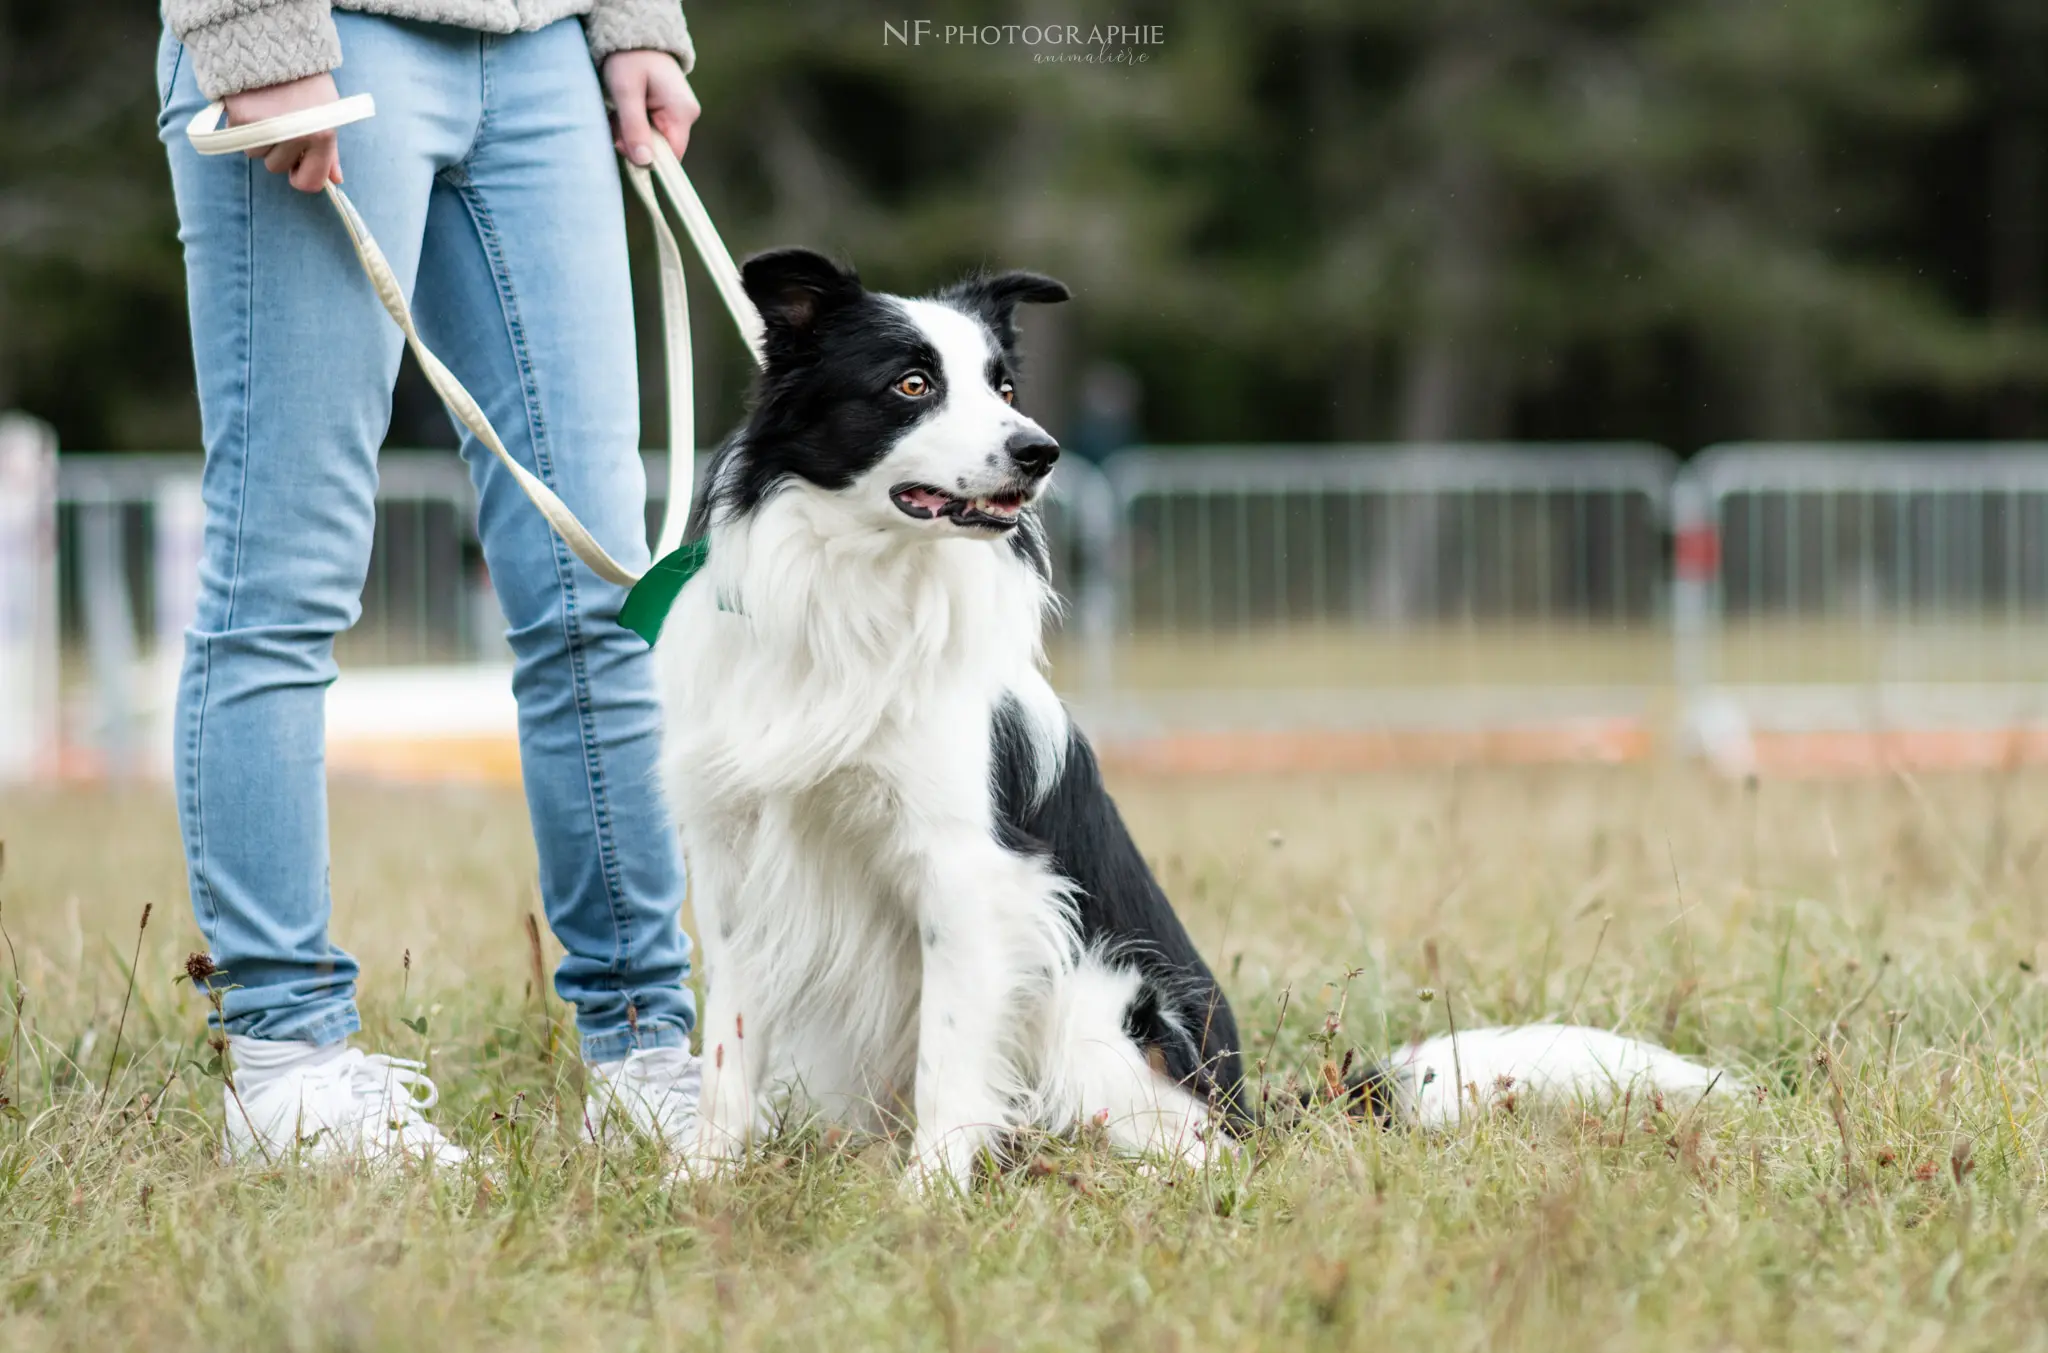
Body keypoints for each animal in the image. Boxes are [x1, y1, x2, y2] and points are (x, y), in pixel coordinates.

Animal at [655, 253, 1728, 1179]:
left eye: (1004, 388)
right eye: (912, 384)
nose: (1039, 451)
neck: (855, 594)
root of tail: (1251, 1103)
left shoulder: (968, 874)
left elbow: (951, 1061)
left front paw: (930, 1193)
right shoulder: (739, 863)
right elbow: (730, 1047)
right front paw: (706, 1179)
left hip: (1097, 1000)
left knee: (1192, 1145)